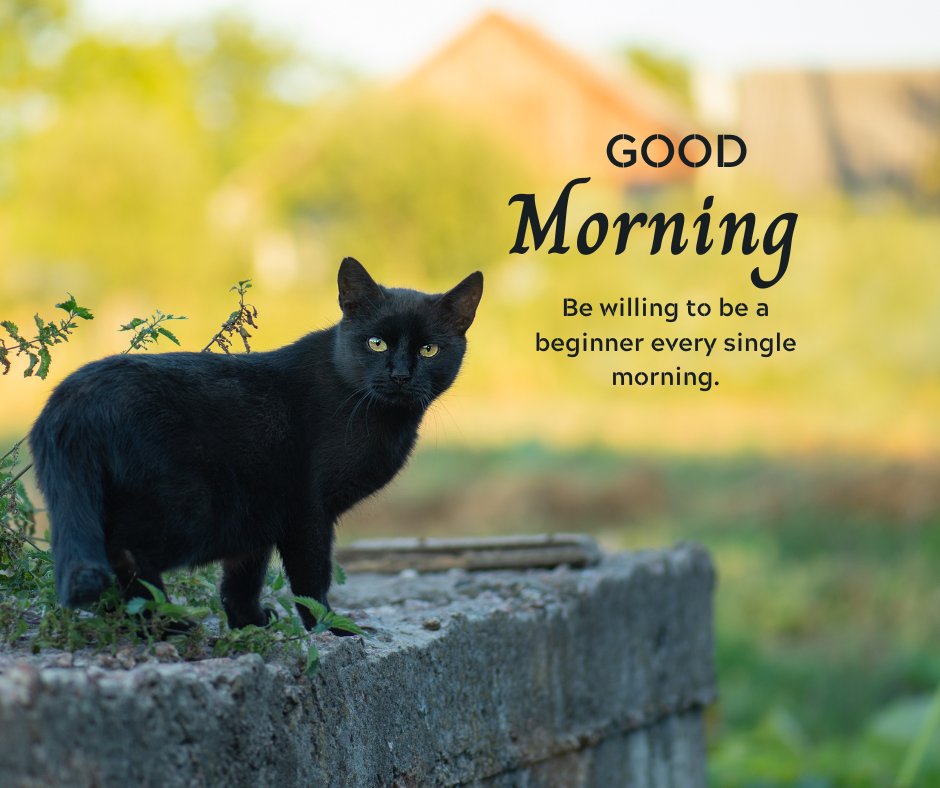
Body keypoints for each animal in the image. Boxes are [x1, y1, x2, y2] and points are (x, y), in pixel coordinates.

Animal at [29, 262, 484, 632]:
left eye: (429, 349)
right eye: (377, 343)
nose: (401, 375)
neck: (380, 415)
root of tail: (69, 401)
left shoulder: (259, 510)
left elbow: (243, 576)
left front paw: (250, 624)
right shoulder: (307, 508)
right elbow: (311, 577)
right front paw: (331, 627)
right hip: (192, 505)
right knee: (120, 551)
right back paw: (162, 623)